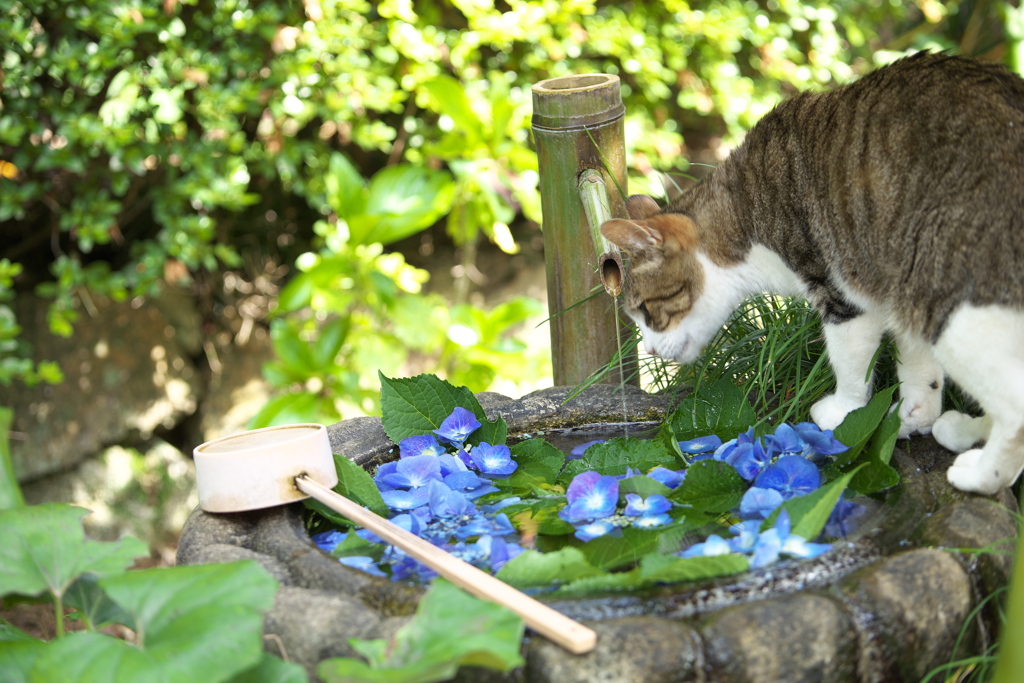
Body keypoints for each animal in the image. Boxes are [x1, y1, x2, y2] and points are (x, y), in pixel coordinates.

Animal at [598, 50, 1024, 493]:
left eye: (645, 311)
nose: (647, 350)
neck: (746, 217)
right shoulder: (895, 281)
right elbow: (918, 365)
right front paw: (915, 414)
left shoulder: (838, 289)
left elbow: (850, 363)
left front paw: (844, 412)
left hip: (951, 301)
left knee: (1016, 408)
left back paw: (981, 474)